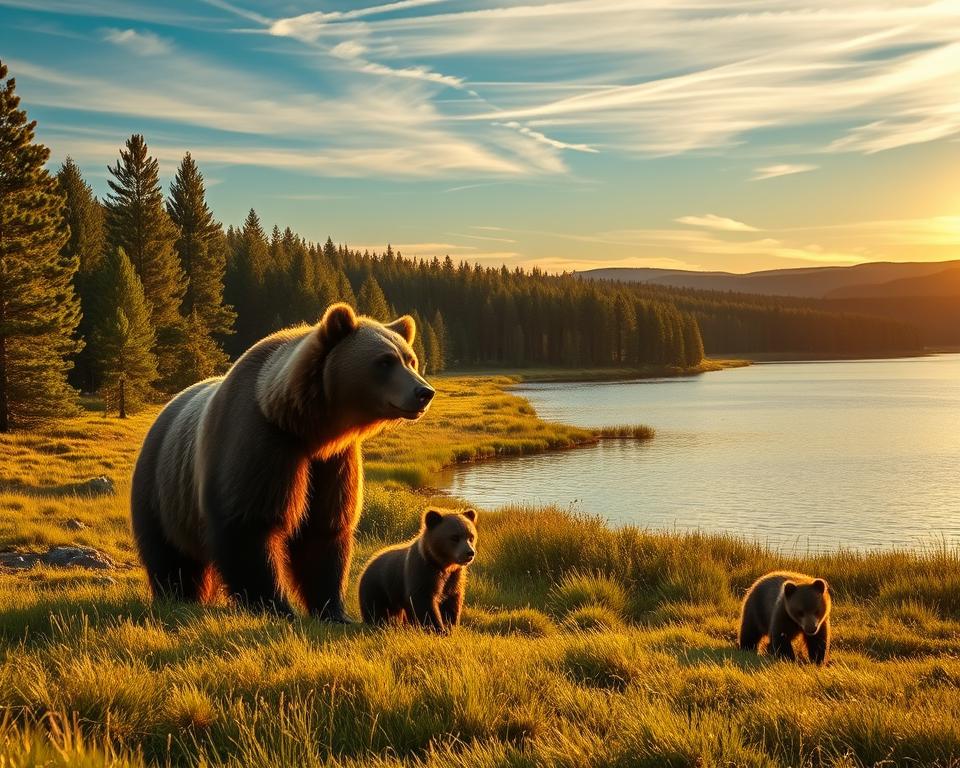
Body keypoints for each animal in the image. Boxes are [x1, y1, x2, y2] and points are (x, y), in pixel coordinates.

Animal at [130, 303, 435, 621]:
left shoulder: (332, 462)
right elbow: (249, 526)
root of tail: (165, 411)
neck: (309, 429)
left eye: (411, 360)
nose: (424, 392)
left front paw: (334, 611)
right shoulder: (263, 445)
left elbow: (325, 531)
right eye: (385, 361)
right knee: (167, 554)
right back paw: (177, 595)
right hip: (161, 489)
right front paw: (276, 605)